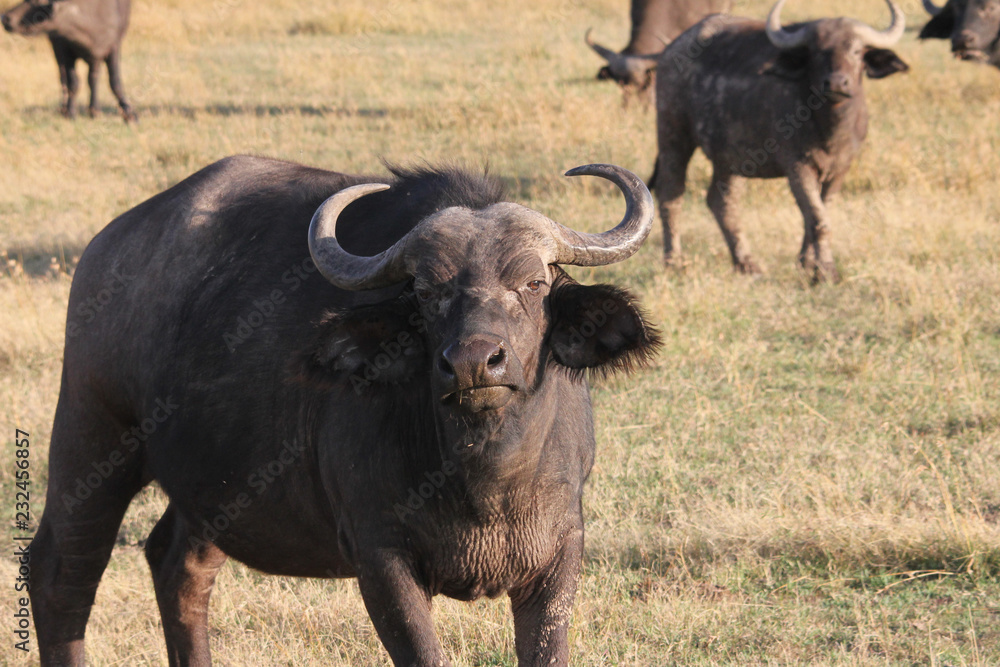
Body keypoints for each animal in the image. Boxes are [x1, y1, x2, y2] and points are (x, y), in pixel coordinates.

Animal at [0, 0, 136, 122]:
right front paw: (70, 112)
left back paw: (94, 110)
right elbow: (73, 82)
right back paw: (65, 109)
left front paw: (129, 113)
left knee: (93, 78)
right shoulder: (65, 49)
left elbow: (115, 82)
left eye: (37, 2)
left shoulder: (113, 47)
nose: (5, 18)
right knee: (63, 79)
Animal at [27, 154, 660, 664]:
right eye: (426, 290)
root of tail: (109, 245)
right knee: (60, 575)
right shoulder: (381, 560)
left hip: (211, 487)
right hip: (92, 434)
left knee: (178, 567)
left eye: (532, 283)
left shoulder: (558, 557)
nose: (475, 363)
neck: (485, 476)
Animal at [652, 0, 912, 280]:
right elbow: (818, 219)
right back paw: (674, 261)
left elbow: (817, 214)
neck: (829, 128)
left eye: (856, 51)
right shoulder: (797, 167)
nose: (836, 83)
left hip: (730, 157)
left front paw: (807, 263)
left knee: (721, 201)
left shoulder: (841, 169)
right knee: (671, 194)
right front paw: (826, 271)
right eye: (818, 52)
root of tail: (670, 50)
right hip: (673, 134)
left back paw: (746, 263)